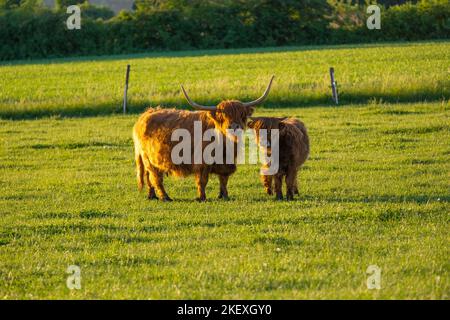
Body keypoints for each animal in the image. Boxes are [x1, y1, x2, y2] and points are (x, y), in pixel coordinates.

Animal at [132, 76, 274, 201]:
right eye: (223, 116)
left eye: (241, 115)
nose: (234, 126)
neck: (224, 146)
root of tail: (146, 114)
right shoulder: (202, 163)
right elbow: (202, 180)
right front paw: (201, 197)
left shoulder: (226, 164)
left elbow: (224, 180)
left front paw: (224, 196)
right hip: (149, 159)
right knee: (156, 177)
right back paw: (165, 197)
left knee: (148, 176)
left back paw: (152, 196)